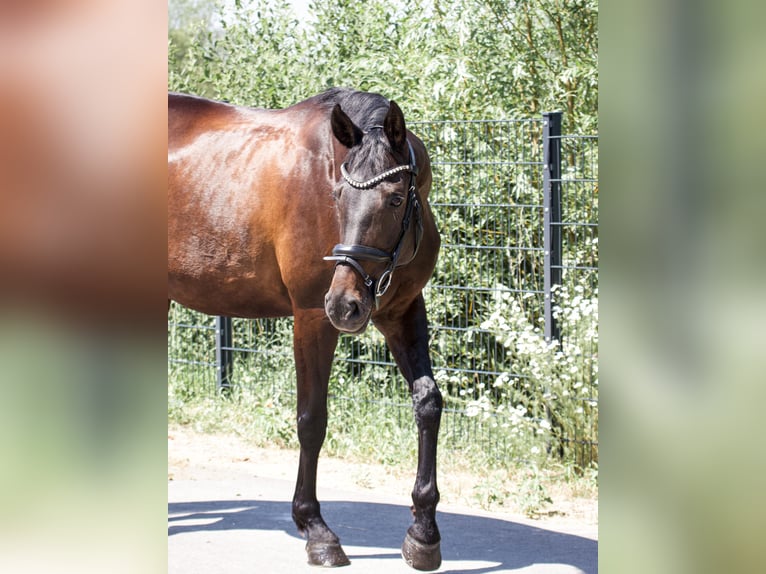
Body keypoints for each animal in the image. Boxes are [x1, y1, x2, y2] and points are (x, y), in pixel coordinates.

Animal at [168, 88, 443, 570]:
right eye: (337, 196)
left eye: (394, 199)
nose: (346, 304)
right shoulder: (313, 317)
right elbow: (312, 419)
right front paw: (316, 529)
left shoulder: (403, 311)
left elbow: (427, 401)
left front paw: (423, 533)